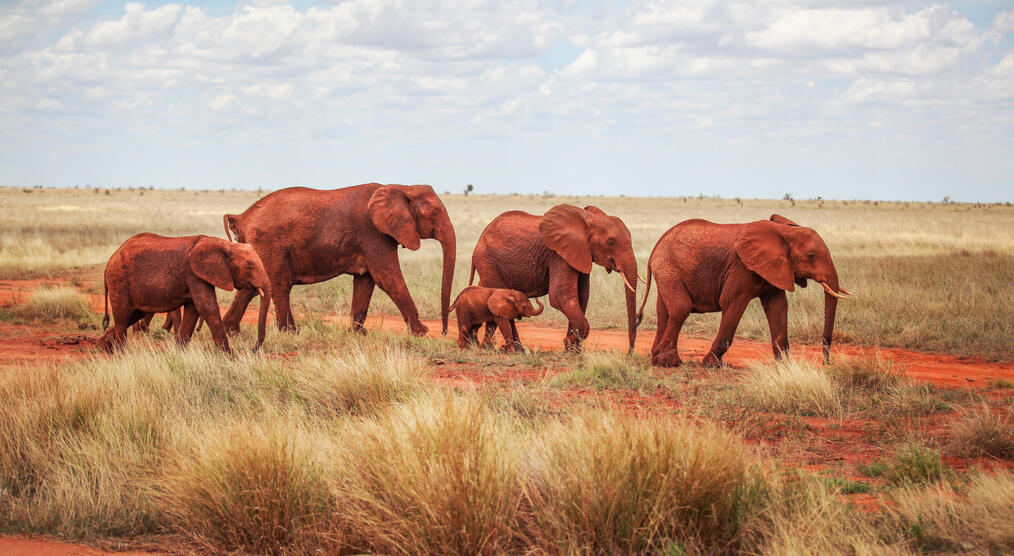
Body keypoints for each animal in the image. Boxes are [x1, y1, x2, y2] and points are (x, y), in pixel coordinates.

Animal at [98, 232, 271, 353]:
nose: (253, 349)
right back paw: (120, 353)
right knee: (123, 316)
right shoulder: (193, 274)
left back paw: (103, 347)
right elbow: (207, 308)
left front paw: (179, 354)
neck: (225, 244)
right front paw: (231, 357)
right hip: (119, 281)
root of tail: (109, 261)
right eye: (249, 266)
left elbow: (193, 311)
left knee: (133, 315)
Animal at [226, 184, 460, 336]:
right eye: (434, 214)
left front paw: (359, 334)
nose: (444, 332)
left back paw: (232, 332)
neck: (402, 187)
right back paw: (290, 333)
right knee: (279, 285)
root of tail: (241, 217)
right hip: (271, 245)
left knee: (253, 287)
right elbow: (388, 277)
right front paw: (422, 332)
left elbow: (366, 281)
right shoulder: (373, 234)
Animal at [468, 203, 640, 351]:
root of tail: (480, 239)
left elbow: (581, 297)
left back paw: (499, 348)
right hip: (488, 262)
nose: (629, 353)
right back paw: (507, 350)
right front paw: (570, 344)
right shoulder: (558, 254)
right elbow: (561, 297)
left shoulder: (580, 254)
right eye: (611, 242)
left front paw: (573, 350)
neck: (588, 219)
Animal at [636, 215, 851, 367]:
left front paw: (785, 366)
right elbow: (732, 303)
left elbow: (778, 307)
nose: (826, 361)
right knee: (680, 308)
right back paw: (668, 363)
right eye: (811, 255)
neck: (783, 232)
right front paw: (712, 365)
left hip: (667, 272)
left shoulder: (774, 269)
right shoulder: (741, 267)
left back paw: (658, 358)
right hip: (669, 268)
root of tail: (657, 245)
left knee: (664, 311)